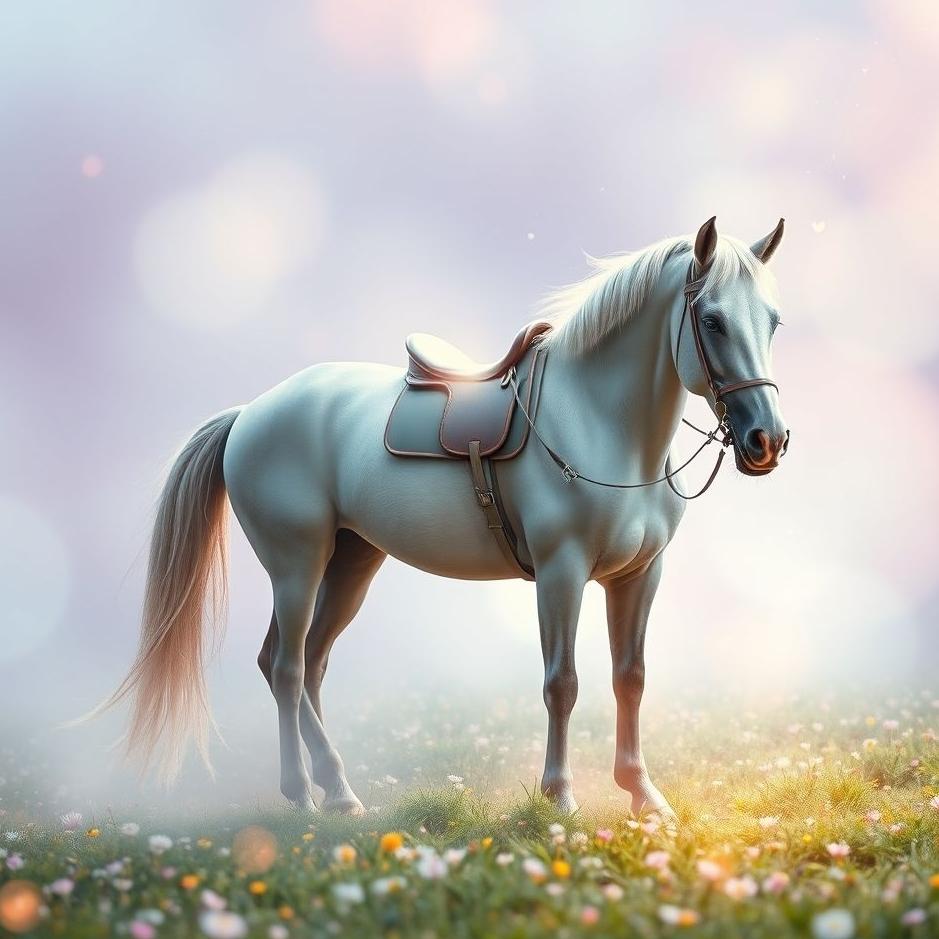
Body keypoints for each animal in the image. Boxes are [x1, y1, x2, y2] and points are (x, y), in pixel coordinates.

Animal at [100, 216, 789, 818]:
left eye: (773, 321)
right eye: (712, 320)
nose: (766, 441)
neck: (599, 424)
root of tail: (251, 412)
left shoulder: (639, 576)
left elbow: (631, 678)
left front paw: (643, 795)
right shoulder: (560, 574)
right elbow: (562, 683)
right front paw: (559, 796)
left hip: (352, 563)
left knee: (306, 664)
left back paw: (339, 792)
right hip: (295, 567)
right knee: (288, 668)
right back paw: (301, 793)